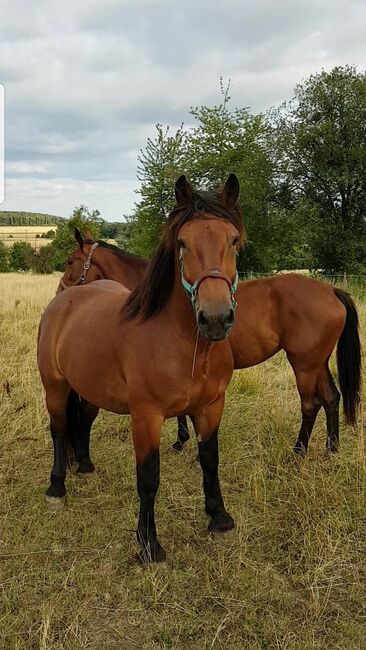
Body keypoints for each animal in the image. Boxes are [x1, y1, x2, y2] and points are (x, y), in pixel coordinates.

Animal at [38, 173, 243, 560]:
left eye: (234, 240)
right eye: (181, 243)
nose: (215, 318)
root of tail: (63, 301)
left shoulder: (211, 407)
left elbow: (210, 460)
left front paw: (219, 519)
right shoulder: (146, 416)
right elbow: (148, 478)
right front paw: (148, 543)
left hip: (90, 390)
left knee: (82, 420)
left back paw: (85, 466)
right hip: (55, 387)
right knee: (58, 429)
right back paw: (57, 488)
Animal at [60, 235, 360, 458]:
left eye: (70, 261)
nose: (61, 292)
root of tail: (331, 291)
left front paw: (183, 441)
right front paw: (185, 441)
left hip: (303, 364)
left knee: (311, 404)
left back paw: (298, 451)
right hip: (317, 362)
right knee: (331, 398)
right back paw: (331, 450)